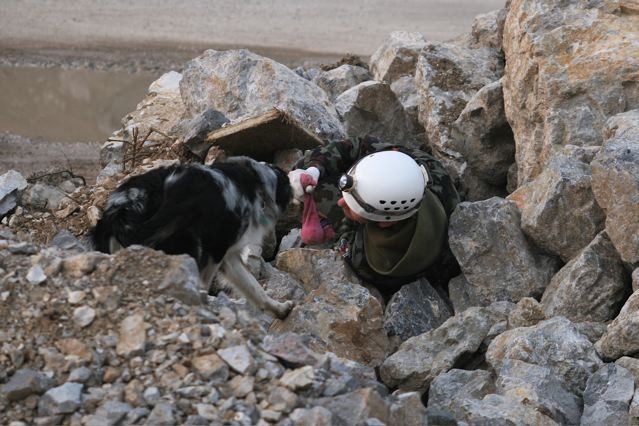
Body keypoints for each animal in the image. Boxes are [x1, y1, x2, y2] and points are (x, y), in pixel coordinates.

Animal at [90, 156, 296, 316]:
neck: (259, 184)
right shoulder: (216, 250)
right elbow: (206, 284)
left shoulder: (226, 256)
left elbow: (253, 286)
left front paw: (279, 309)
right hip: (185, 246)